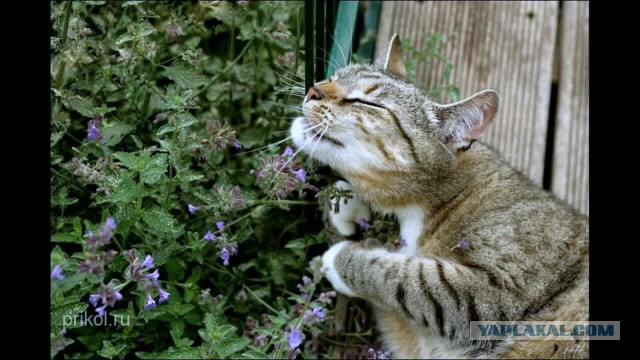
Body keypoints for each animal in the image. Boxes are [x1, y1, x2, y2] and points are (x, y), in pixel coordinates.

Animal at [290, 34, 592, 360]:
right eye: (333, 78)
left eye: (367, 102)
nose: (313, 89)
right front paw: (347, 206)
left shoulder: (493, 293)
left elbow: (405, 277)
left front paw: (339, 259)